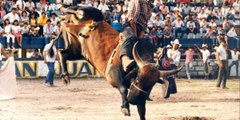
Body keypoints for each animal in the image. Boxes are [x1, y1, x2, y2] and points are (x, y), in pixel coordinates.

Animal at [49, 5, 183, 120]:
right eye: (138, 79)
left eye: (150, 85)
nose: (133, 100)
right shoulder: (113, 74)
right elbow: (123, 89)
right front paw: (125, 108)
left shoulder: (141, 98)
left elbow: (142, 111)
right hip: (84, 21)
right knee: (75, 13)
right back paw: (65, 11)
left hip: (77, 50)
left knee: (62, 53)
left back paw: (65, 76)